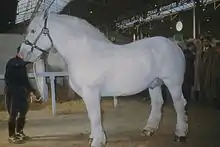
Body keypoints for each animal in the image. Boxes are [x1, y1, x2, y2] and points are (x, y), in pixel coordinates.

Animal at [18, 11, 187, 147]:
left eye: (33, 31)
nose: (21, 54)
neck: (84, 53)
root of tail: (174, 44)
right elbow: (92, 116)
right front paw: (94, 137)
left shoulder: (91, 92)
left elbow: (95, 115)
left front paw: (98, 141)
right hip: (154, 84)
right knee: (158, 102)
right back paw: (149, 129)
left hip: (173, 83)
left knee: (179, 104)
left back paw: (180, 134)